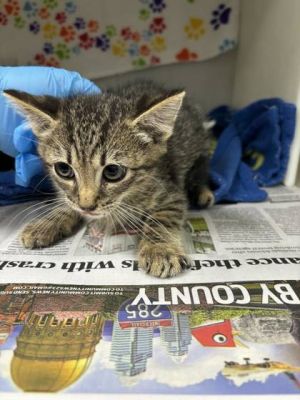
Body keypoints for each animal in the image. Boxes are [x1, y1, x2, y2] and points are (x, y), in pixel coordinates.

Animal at [3, 81, 212, 278]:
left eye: (113, 171)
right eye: (64, 169)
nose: (86, 207)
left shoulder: (170, 191)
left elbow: (162, 218)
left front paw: (160, 249)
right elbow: (68, 201)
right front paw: (48, 222)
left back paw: (203, 192)